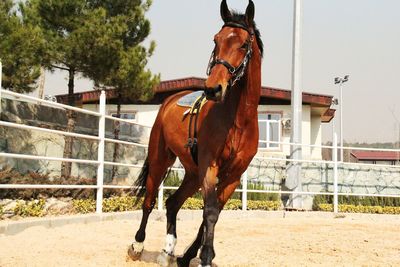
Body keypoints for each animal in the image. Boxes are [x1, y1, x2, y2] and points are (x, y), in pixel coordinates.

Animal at [128, 1, 264, 266]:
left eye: (244, 44)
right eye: (216, 40)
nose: (213, 89)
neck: (238, 121)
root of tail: (169, 101)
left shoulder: (233, 176)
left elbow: (213, 212)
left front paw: (190, 255)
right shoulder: (209, 167)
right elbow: (209, 211)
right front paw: (206, 256)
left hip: (191, 173)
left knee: (172, 202)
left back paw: (168, 251)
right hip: (161, 160)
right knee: (149, 200)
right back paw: (137, 245)